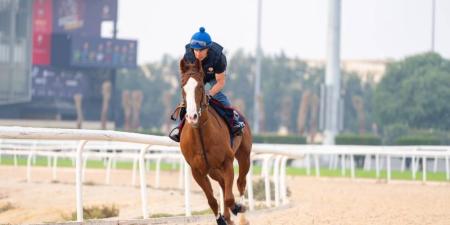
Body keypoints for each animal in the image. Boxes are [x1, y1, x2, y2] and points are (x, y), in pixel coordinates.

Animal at [178, 58, 251, 225]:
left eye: (199, 86)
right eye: (182, 87)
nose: (192, 117)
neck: (201, 135)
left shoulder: (227, 162)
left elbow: (229, 197)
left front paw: (237, 208)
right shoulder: (197, 171)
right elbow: (212, 200)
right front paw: (222, 219)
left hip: (244, 156)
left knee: (240, 182)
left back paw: (242, 214)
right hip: (213, 170)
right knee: (223, 184)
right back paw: (228, 217)